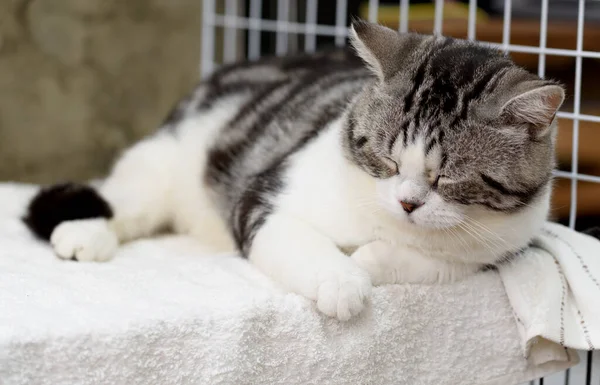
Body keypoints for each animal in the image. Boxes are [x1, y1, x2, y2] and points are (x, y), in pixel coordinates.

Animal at [23, 21, 564, 320]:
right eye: (387, 158)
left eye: (446, 178)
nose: (408, 202)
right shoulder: (263, 195)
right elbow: (298, 240)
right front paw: (343, 281)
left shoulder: (500, 249)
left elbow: (432, 260)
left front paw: (369, 259)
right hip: (166, 162)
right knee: (121, 199)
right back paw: (84, 234)